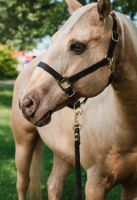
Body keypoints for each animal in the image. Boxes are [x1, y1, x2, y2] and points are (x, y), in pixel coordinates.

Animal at [11, 0, 137, 199]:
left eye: (77, 46)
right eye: (53, 40)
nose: (26, 103)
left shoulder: (132, 185)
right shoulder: (94, 185)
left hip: (63, 152)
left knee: (54, 185)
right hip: (23, 143)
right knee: (23, 183)